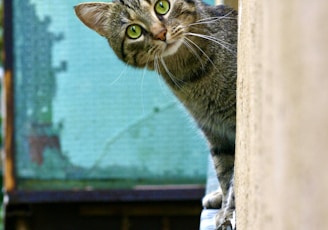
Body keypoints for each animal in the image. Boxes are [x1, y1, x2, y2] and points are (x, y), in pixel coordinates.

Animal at [74, 0, 237, 229]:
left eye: (162, 6)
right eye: (134, 31)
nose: (161, 33)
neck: (190, 74)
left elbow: (236, 180)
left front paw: (229, 213)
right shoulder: (215, 132)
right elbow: (224, 173)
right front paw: (225, 208)